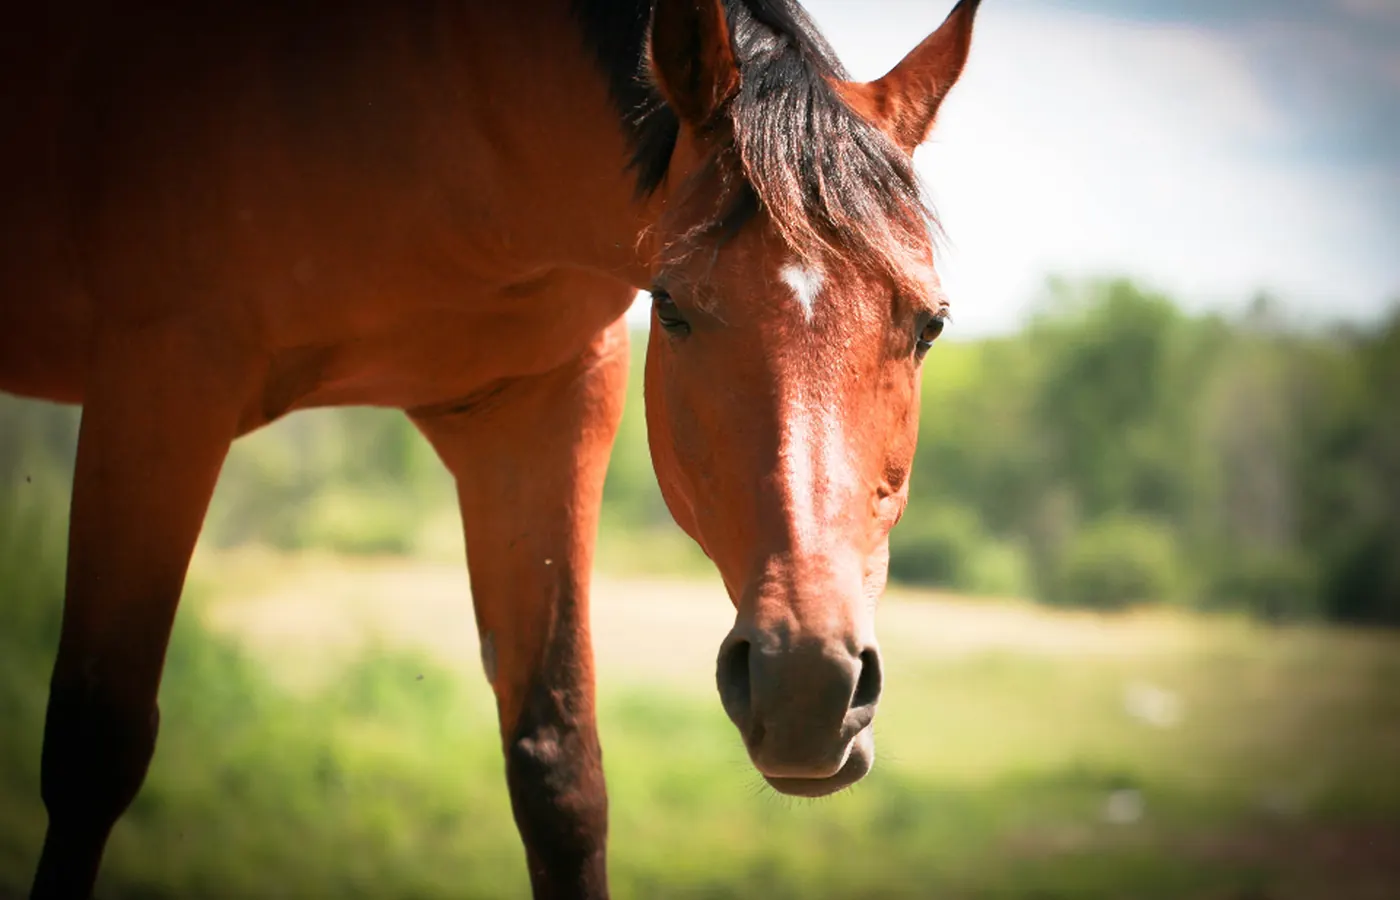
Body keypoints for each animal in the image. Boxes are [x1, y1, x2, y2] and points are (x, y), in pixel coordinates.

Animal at [0, 0, 980, 895]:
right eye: (671, 307)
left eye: (930, 325)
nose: (808, 684)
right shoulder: (163, 383)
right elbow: (94, 750)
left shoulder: (542, 407)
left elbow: (560, 775)